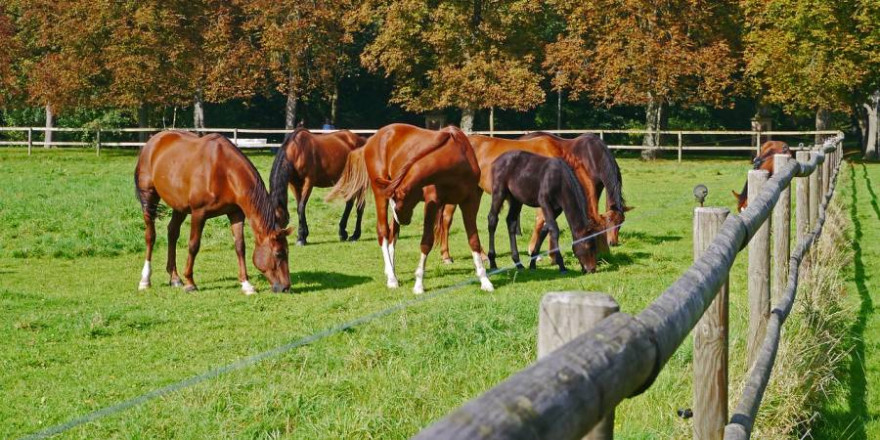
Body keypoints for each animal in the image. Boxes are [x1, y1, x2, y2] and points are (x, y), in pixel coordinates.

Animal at [134, 131, 292, 296]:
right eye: (279, 253)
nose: (286, 287)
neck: (224, 172)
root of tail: (153, 140)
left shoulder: (236, 213)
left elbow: (240, 246)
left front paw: (246, 284)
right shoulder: (199, 213)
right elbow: (193, 246)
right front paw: (190, 283)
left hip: (179, 206)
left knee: (172, 233)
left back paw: (175, 278)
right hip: (149, 197)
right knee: (150, 236)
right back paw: (145, 280)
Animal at [330, 124, 496, 294]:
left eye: (398, 200)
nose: (403, 219)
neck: (456, 159)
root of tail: (372, 139)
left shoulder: (470, 202)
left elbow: (474, 240)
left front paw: (485, 281)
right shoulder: (432, 203)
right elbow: (426, 242)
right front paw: (418, 284)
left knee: (393, 234)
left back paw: (392, 271)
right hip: (380, 194)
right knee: (384, 232)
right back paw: (392, 278)